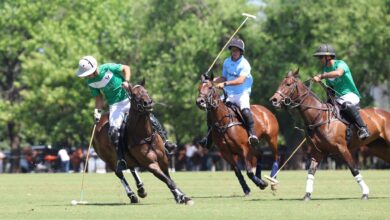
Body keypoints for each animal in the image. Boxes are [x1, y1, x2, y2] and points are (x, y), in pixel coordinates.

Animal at [270, 69, 390, 201]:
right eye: (281, 83)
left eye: (288, 84)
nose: (273, 100)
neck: (319, 117)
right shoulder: (317, 152)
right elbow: (310, 172)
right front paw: (307, 195)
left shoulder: (342, 148)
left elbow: (354, 169)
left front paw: (365, 193)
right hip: (378, 148)